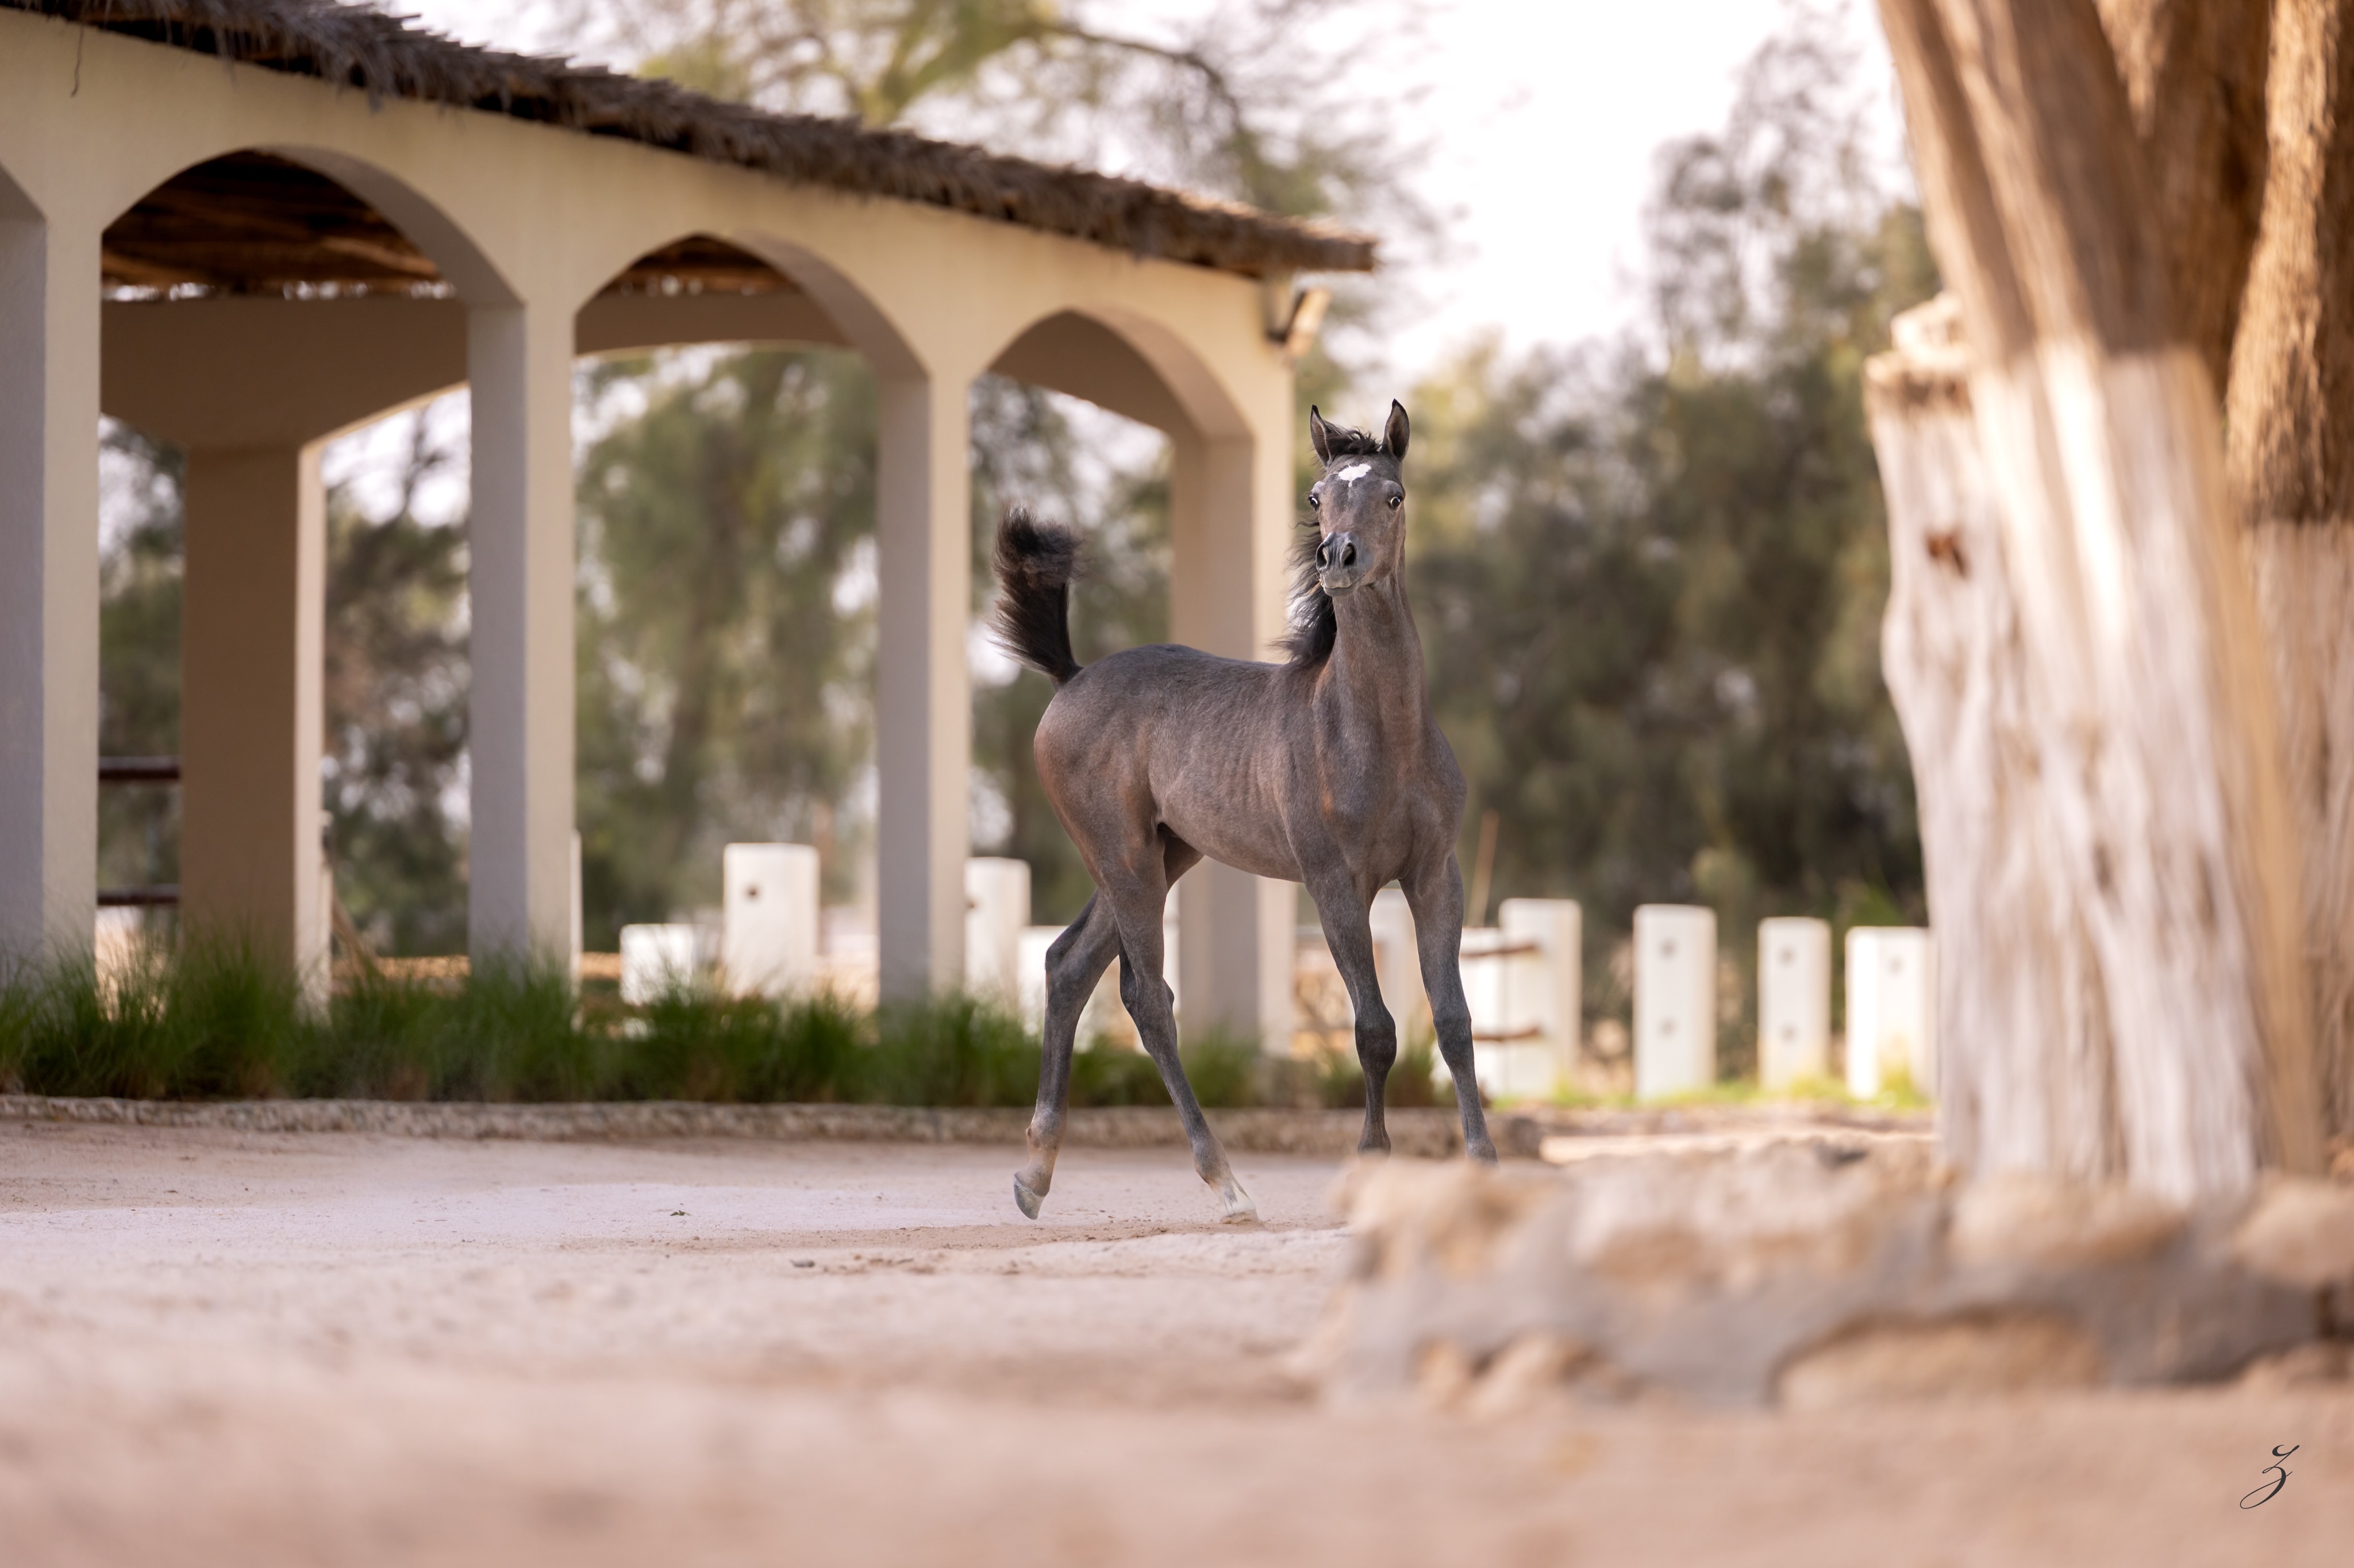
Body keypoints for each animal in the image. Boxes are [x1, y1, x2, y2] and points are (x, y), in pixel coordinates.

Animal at [992, 399, 1497, 1222]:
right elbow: (1375, 1028)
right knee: (1146, 998)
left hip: (1158, 855)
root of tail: (1069, 675)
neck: (1377, 735)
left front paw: (1485, 1163)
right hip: (1124, 858)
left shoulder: (1433, 875)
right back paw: (1226, 1182)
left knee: (1067, 966)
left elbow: (1451, 1019)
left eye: (1393, 496)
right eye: (1317, 496)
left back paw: (1035, 1174)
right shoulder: (1333, 884)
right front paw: (1367, 1167)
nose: (1337, 557)